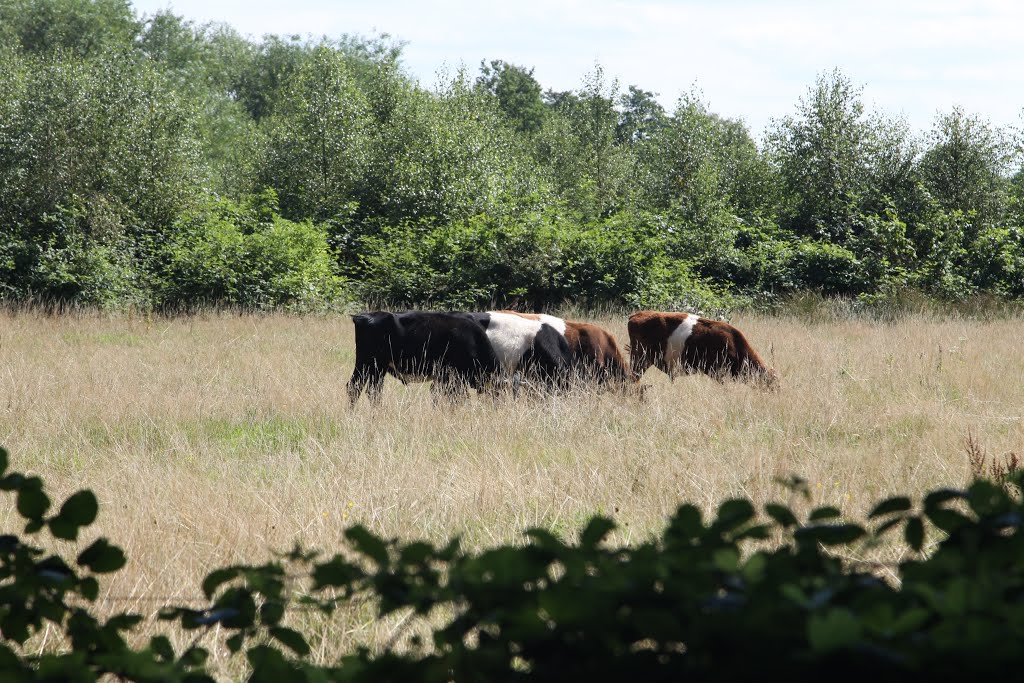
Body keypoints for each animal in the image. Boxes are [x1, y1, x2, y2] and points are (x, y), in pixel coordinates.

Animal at [348, 311, 499, 405]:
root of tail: (362, 317)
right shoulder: (453, 376)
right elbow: (457, 398)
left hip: (371, 367)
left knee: (359, 388)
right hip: (373, 364)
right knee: (366, 390)